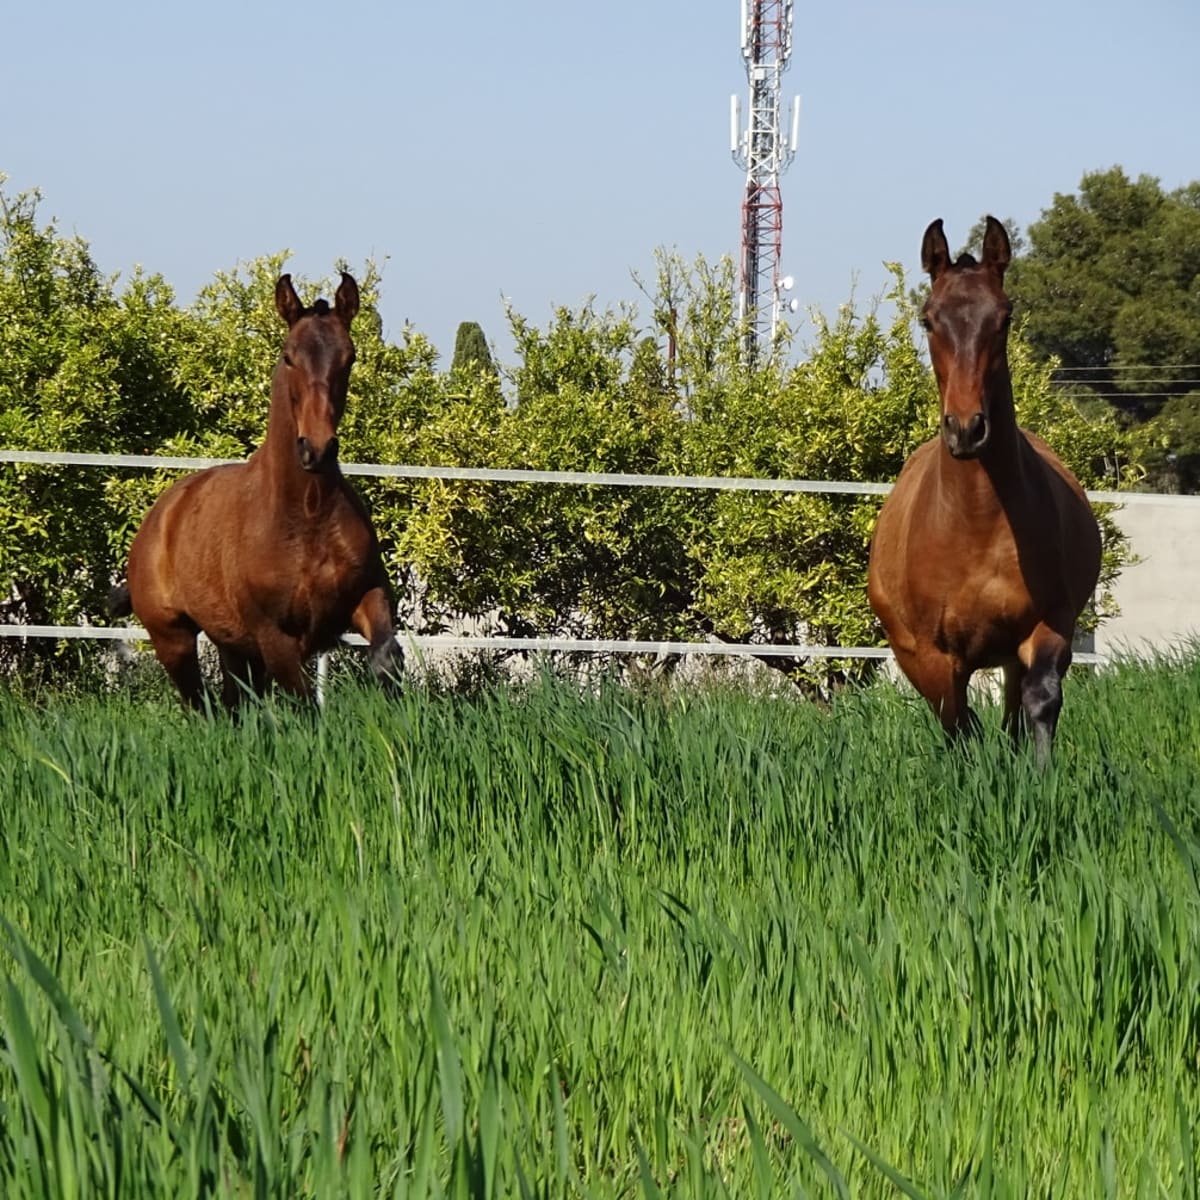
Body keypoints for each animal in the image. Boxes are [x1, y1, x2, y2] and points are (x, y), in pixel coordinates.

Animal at [110, 272, 402, 710]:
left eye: (349, 358)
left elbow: (387, 659)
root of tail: (160, 514)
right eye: (288, 356)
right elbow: (304, 704)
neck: (307, 513)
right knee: (204, 706)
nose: (316, 449)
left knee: (234, 704)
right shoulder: (274, 637)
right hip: (173, 640)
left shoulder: (366, 596)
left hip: (233, 646)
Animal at [867, 216, 1101, 765]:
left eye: (1005, 317)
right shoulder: (930, 655)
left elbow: (1040, 702)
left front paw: (1040, 776)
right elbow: (957, 723)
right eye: (929, 319)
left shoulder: (1049, 625)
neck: (976, 522)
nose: (967, 428)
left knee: (1014, 709)